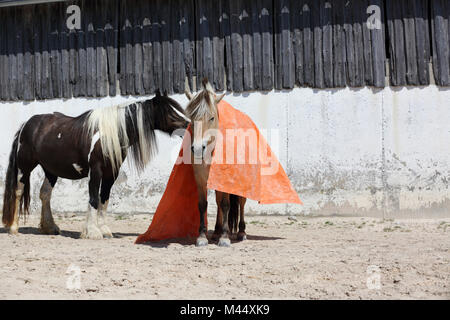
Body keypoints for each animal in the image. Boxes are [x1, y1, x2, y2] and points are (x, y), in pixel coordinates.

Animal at [1, 91, 188, 239]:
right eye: (170, 112)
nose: (188, 125)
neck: (110, 134)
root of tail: (26, 125)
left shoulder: (111, 173)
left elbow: (104, 199)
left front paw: (104, 230)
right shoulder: (95, 171)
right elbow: (93, 198)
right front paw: (92, 232)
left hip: (51, 170)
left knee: (45, 194)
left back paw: (50, 227)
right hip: (25, 167)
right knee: (18, 191)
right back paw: (13, 228)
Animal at [185, 78, 248, 248]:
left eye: (212, 117)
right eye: (192, 118)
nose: (197, 148)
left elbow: (226, 204)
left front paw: (225, 238)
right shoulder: (200, 178)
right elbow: (203, 204)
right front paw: (202, 236)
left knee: (241, 202)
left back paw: (241, 232)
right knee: (218, 202)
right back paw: (217, 231)